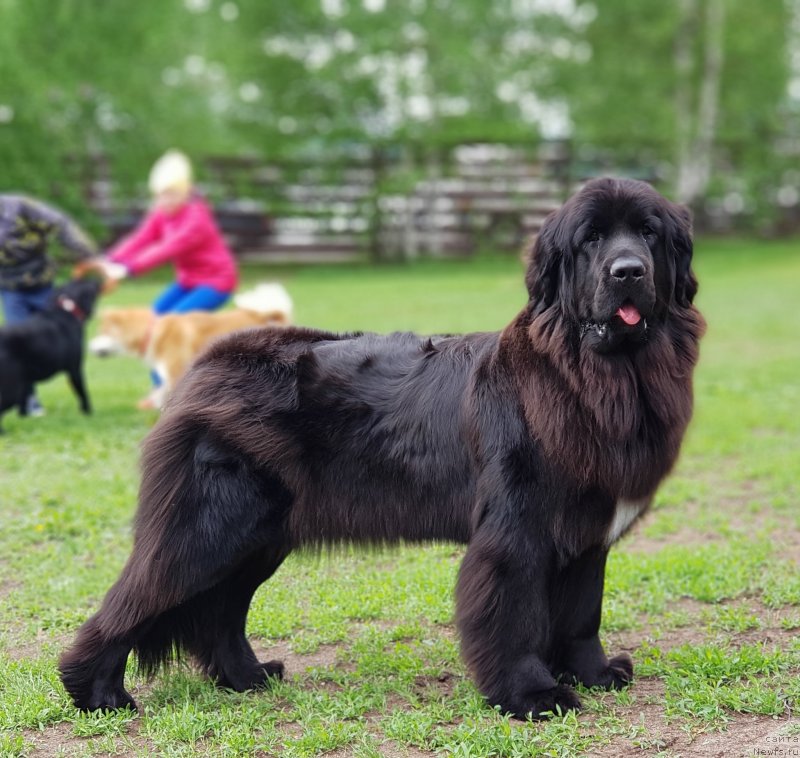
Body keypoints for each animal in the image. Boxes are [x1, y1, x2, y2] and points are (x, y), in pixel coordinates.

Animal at [0, 280, 103, 434]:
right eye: (89, 285)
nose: (97, 280)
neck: (68, 308)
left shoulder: (25, 381)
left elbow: (23, 403)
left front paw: (25, 417)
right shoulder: (75, 369)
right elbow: (83, 392)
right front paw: (88, 413)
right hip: (10, 389)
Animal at [59, 177, 704, 720]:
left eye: (649, 233)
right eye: (591, 239)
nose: (628, 271)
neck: (600, 375)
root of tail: (205, 364)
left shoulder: (587, 533)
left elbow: (581, 614)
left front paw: (595, 673)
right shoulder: (517, 532)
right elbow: (515, 617)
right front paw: (532, 695)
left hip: (258, 538)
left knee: (221, 612)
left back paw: (248, 677)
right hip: (207, 528)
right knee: (139, 598)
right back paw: (97, 694)